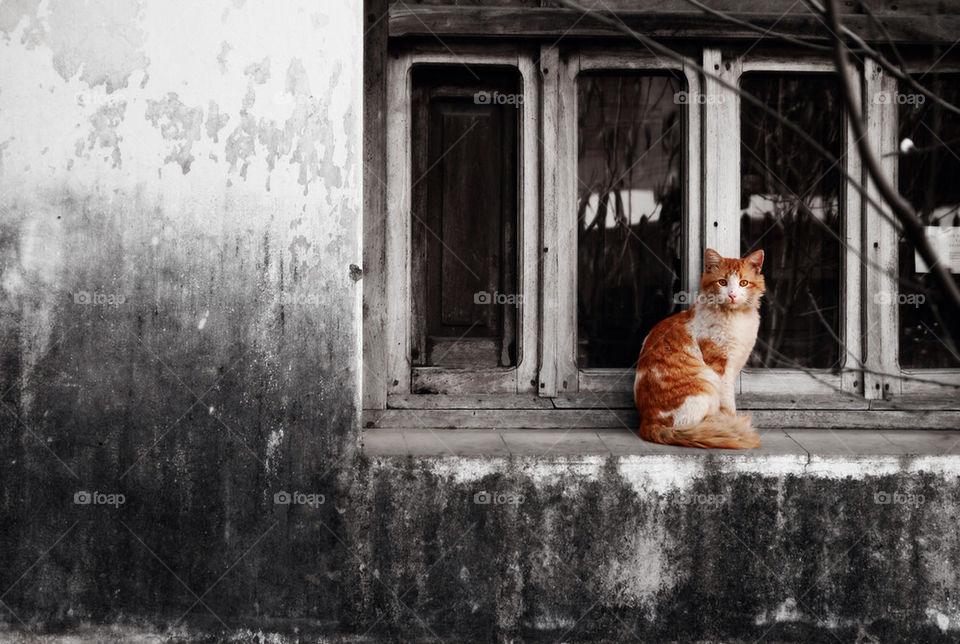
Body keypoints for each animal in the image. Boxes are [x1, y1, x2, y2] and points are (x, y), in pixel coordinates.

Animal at [632, 249, 768, 450]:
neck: (736, 319)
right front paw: (732, 421)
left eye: (743, 283)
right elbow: (729, 404)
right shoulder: (721, 368)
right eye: (722, 282)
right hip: (706, 383)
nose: (732, 295)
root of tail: (648, 423)